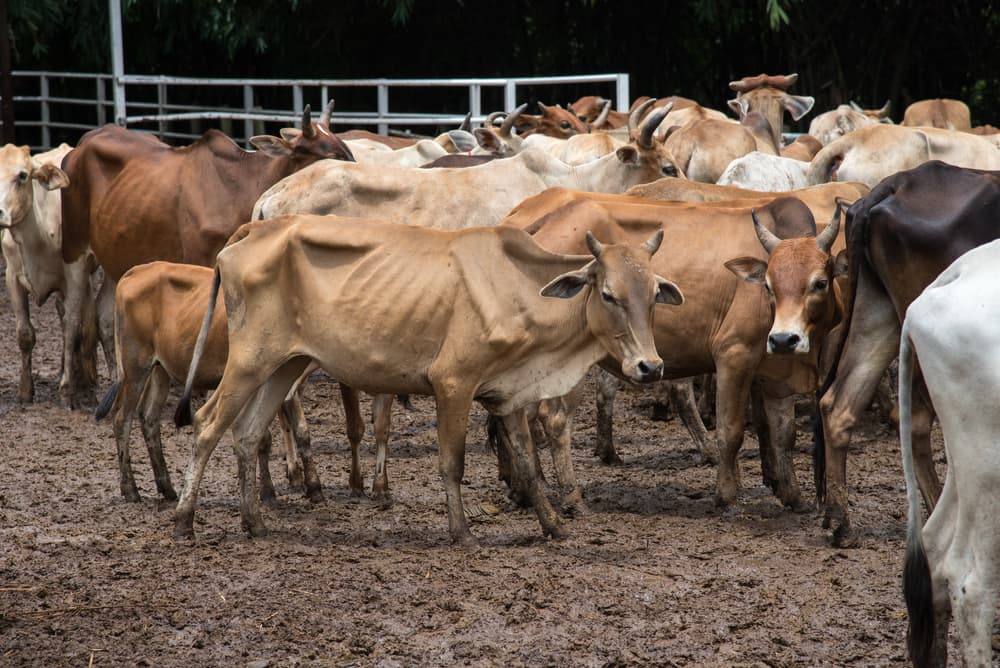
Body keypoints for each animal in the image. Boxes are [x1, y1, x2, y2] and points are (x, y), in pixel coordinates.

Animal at [0, 144, 105, 404]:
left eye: (22, 175)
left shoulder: (75, 274)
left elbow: (72, 327)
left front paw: (68, 389)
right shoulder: (12, 277)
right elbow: (24, 333)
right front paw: (25, 391)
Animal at [174, 217, 680, 544]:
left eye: (655, 293)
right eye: (609, 294)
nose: (650, 366)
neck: (518, 290)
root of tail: (254, 229)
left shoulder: (509, 394)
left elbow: (528, 465)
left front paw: (553, 526)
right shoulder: (453, 384)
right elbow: (452, 463)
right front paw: (462, 532)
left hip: (286, 364)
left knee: (246, 432)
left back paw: (254, 523)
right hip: (249, 360)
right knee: (207, 423)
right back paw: (184, 521)